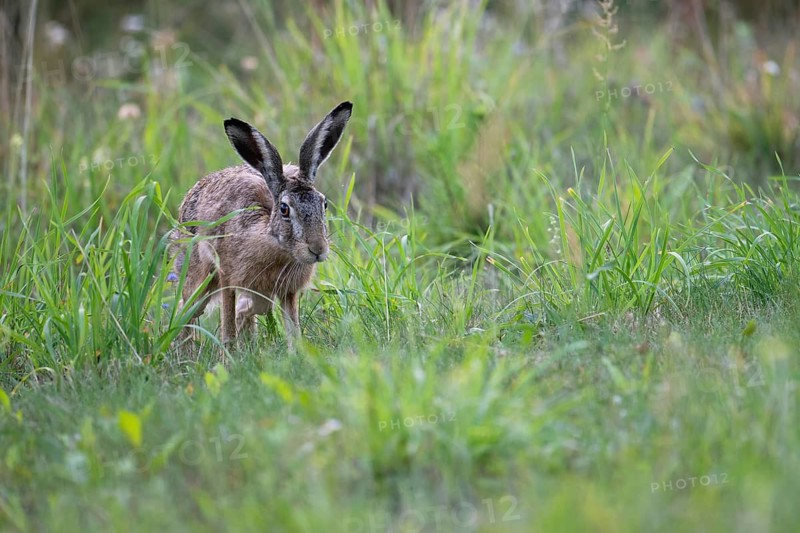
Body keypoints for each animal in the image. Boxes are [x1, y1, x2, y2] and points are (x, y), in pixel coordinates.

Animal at [171, 101, 353, 346]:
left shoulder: (287, 291)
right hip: (197, 276)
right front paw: (229, 354)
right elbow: (228, 329)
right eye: (284, 209)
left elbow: (292, 330)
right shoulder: (228, 277)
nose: (318, 249)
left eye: (323, 204)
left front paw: (297, 352)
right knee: (188, 310)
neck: (277, 246)